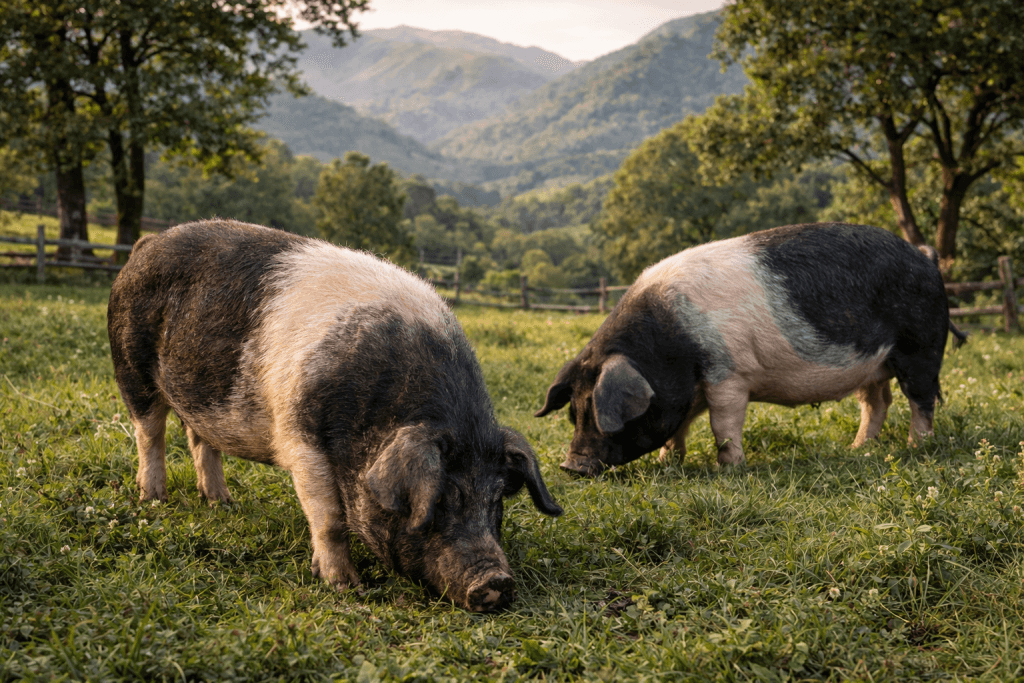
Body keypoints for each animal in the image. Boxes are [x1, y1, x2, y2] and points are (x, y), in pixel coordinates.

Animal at [108, 219, 562, 611]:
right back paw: (154, 499)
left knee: (200, 439)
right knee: (149, 433)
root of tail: (146, 244)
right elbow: (329, 519)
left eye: (497, 499)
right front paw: (345, 586)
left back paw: (222, 503)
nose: (497, 582)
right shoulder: (301, 438)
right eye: (441, 498)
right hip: (130, 366)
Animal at [536, 222, 956, 476]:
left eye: (598, 412)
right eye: (573, 411)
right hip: (873, 364)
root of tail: (925, 255)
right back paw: (858, 449)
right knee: (877, 401)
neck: (673, 342)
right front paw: (670, 462)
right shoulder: (691, 388)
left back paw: (915, 446)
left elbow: (722, 424)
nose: (571, 467)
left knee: (921, 399)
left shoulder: (729, 374)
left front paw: (730, 468)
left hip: (922, 348)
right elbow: (679, 426)